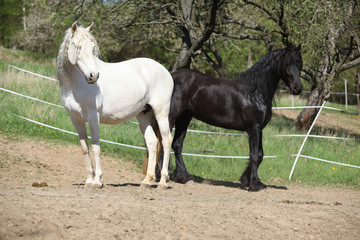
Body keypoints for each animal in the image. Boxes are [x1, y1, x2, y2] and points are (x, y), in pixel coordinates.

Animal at [56, 21, 173, 188]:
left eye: (93, 47)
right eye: (78, 47)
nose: (93, 76)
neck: (77, 84)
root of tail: (165, 71)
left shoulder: (93, 116)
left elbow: (95, 146)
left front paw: (97, 181)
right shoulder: (75, 119)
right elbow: (85, 148)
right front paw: (89, 180)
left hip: (161, 112)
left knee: (166, 140)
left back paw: (162, 181)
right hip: (144, 115)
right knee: (152, 142)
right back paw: (146, 180)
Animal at [160, 44, 300, 191]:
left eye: (299, 62)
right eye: (287, 63)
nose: (298, 88)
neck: (254, 92)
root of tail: (171, 77)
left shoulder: (259, 129)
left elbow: (260, 155)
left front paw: (246, 180)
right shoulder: (253, 129)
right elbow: (255, 156)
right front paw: (255, 184)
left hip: (184, 118)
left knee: (177, 144)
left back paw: (183, 177)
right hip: (171, 117)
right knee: (164, 142)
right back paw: (162, 177)